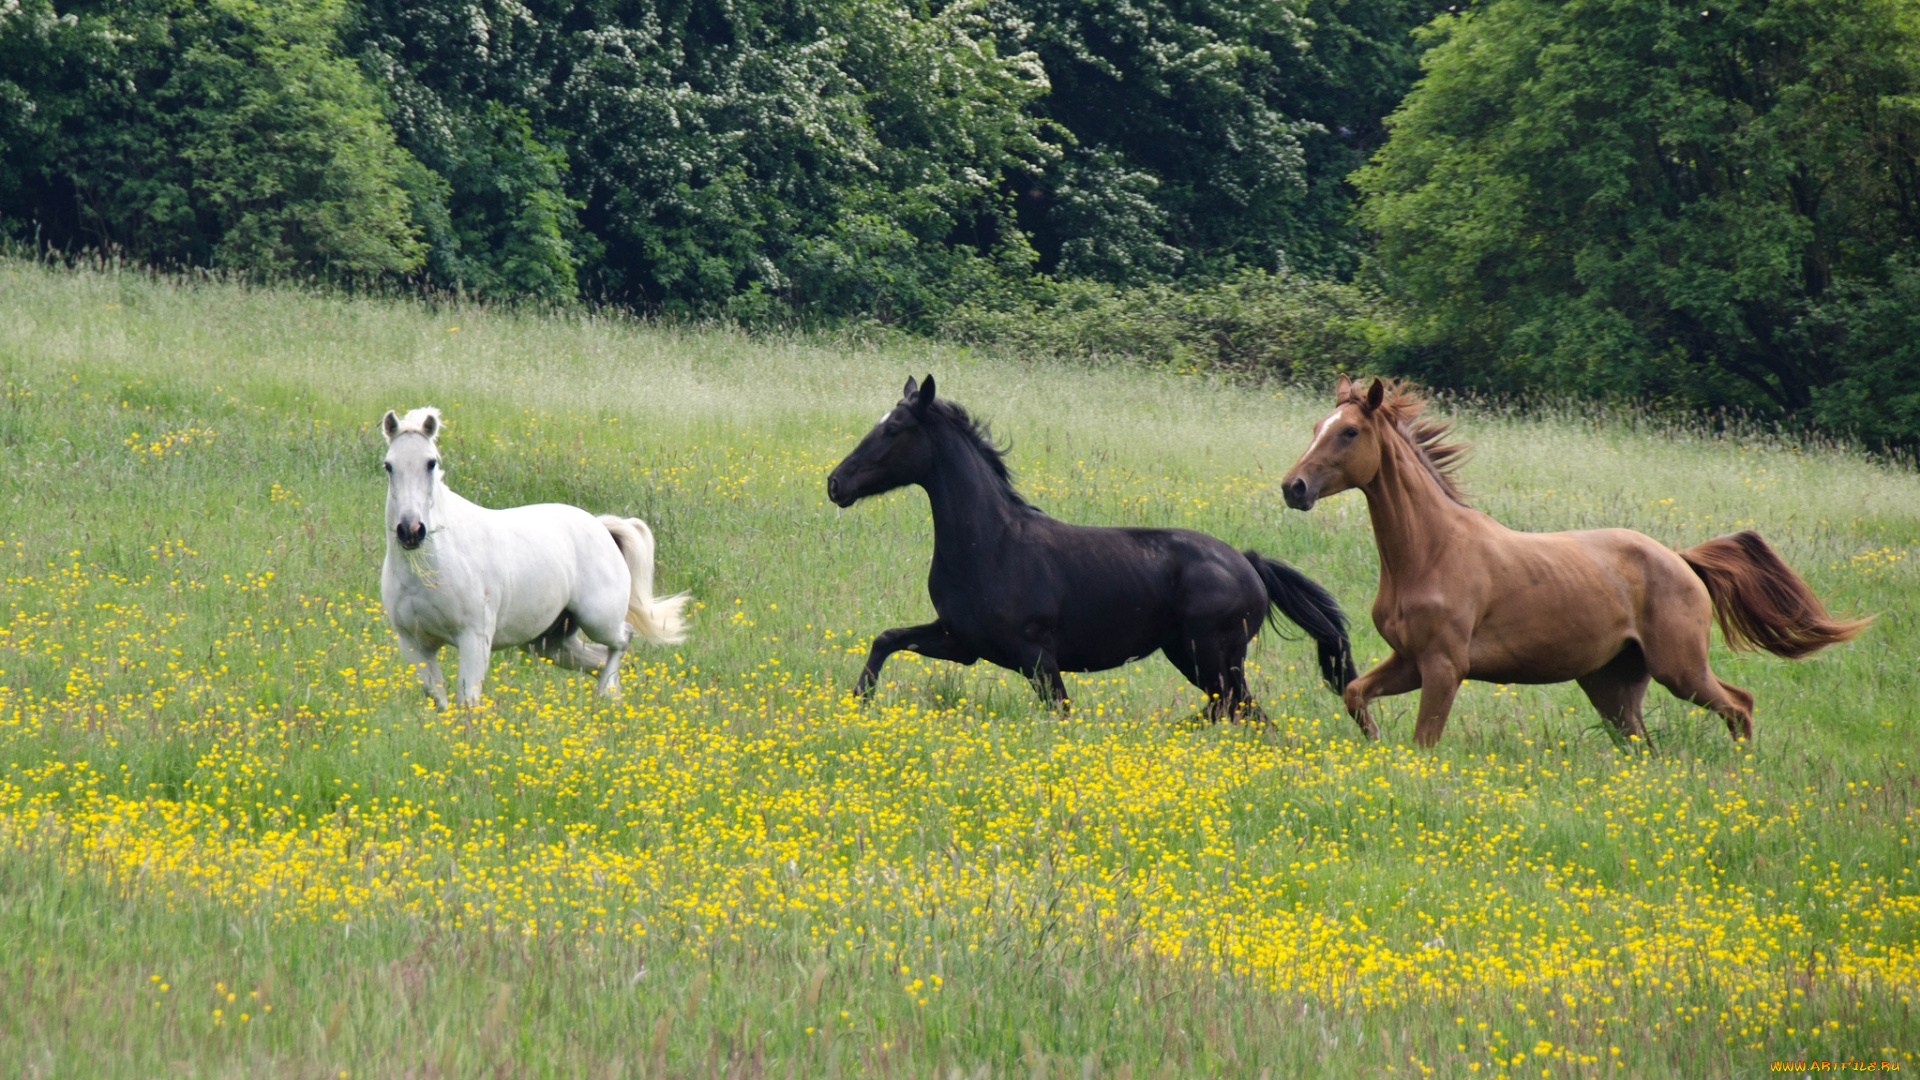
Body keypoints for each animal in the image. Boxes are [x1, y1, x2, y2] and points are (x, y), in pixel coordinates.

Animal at [378, 405, 687, 707]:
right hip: (548, 641)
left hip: (599, 620)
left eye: (430, 463)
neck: (430, 570)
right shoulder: (414, 644)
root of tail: (602, 527)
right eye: (389, 465)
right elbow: (439, 699)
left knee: (622, 639)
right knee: (598, 659)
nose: (411, 531)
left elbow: (468, 702)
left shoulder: (474, 638)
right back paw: (610, 699)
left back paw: (606, 694)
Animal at [821, 374, 1351, 718]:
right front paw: (858, 700)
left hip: (1212, 656)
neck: (990, 546)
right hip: (1194, 656)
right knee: (1248, 715)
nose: (835, 483)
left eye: (893, 429)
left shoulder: (1037, 657)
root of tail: (1248, 563)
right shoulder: (961, 640)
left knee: (1233, 711)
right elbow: (886, 639)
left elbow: (1060, 712)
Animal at [1282, 376, 1866, 737]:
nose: (1294, 487)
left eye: (1349, 431)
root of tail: (1681, 560)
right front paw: (1374, 740)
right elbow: (1354, 693)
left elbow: (1425, 741)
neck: (1430, 552)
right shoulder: (1408, 659)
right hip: (1613, 685)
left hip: (1680, 668)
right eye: (1314, 428)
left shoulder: (1444, 666)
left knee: (1739, 705)